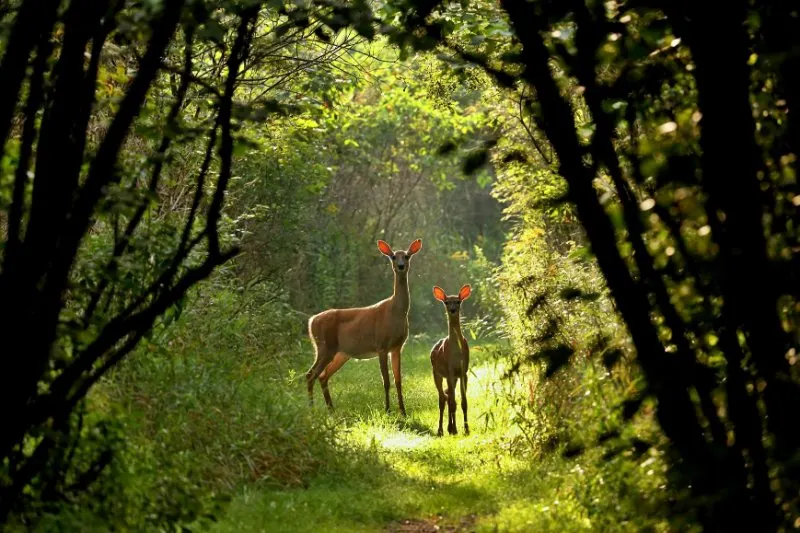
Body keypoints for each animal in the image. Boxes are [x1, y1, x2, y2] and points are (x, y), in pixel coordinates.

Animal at [304, 238, 422, 416]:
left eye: (407, 256)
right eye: (394, 256)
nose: (401, 266)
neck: (396, 312)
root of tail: (311, 321)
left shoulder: (397, 347)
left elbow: (398, 380)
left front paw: (403, 411)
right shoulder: (381, 345)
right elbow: (386, 381)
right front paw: (387, 410)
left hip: (340, 353)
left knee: (323, 376)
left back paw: (331, 410)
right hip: (324, 347)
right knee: (310, 374)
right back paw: (312, 411)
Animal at [428, 284, 472, 434]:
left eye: (458, 301)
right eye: (447, 302)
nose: (452, 310)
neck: (456, 352)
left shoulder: (463, 371)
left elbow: (463, 402)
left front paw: (466, 429)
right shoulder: (450, 370)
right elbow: (452, 402)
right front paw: (456, 429)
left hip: (452, 377)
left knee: (448, 396)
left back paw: (450, 427)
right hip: (436, 373)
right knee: (443, 398)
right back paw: (442, 429)